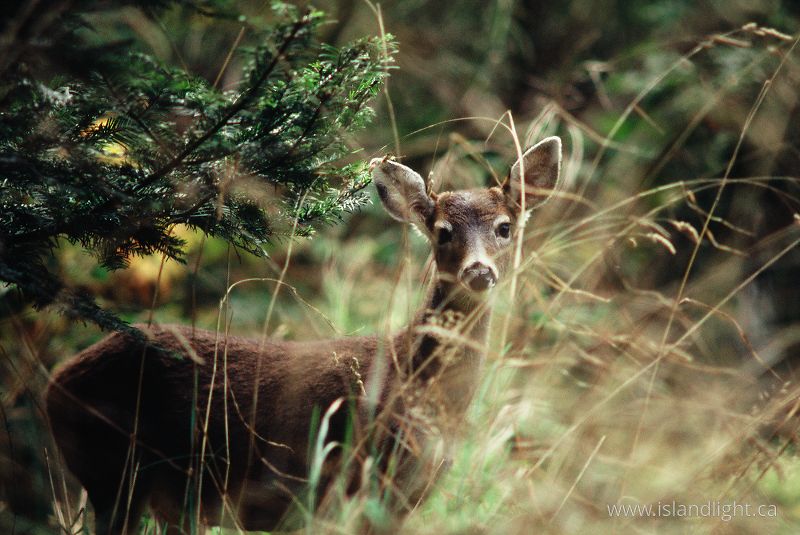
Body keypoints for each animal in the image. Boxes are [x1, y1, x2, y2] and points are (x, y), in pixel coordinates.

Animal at [45, 136, 563, 534]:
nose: (479, 271)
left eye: (504, 227)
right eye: (442, 231)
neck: (420, 388)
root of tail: (57, 381)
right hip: (115, 471)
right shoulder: (359, 481)